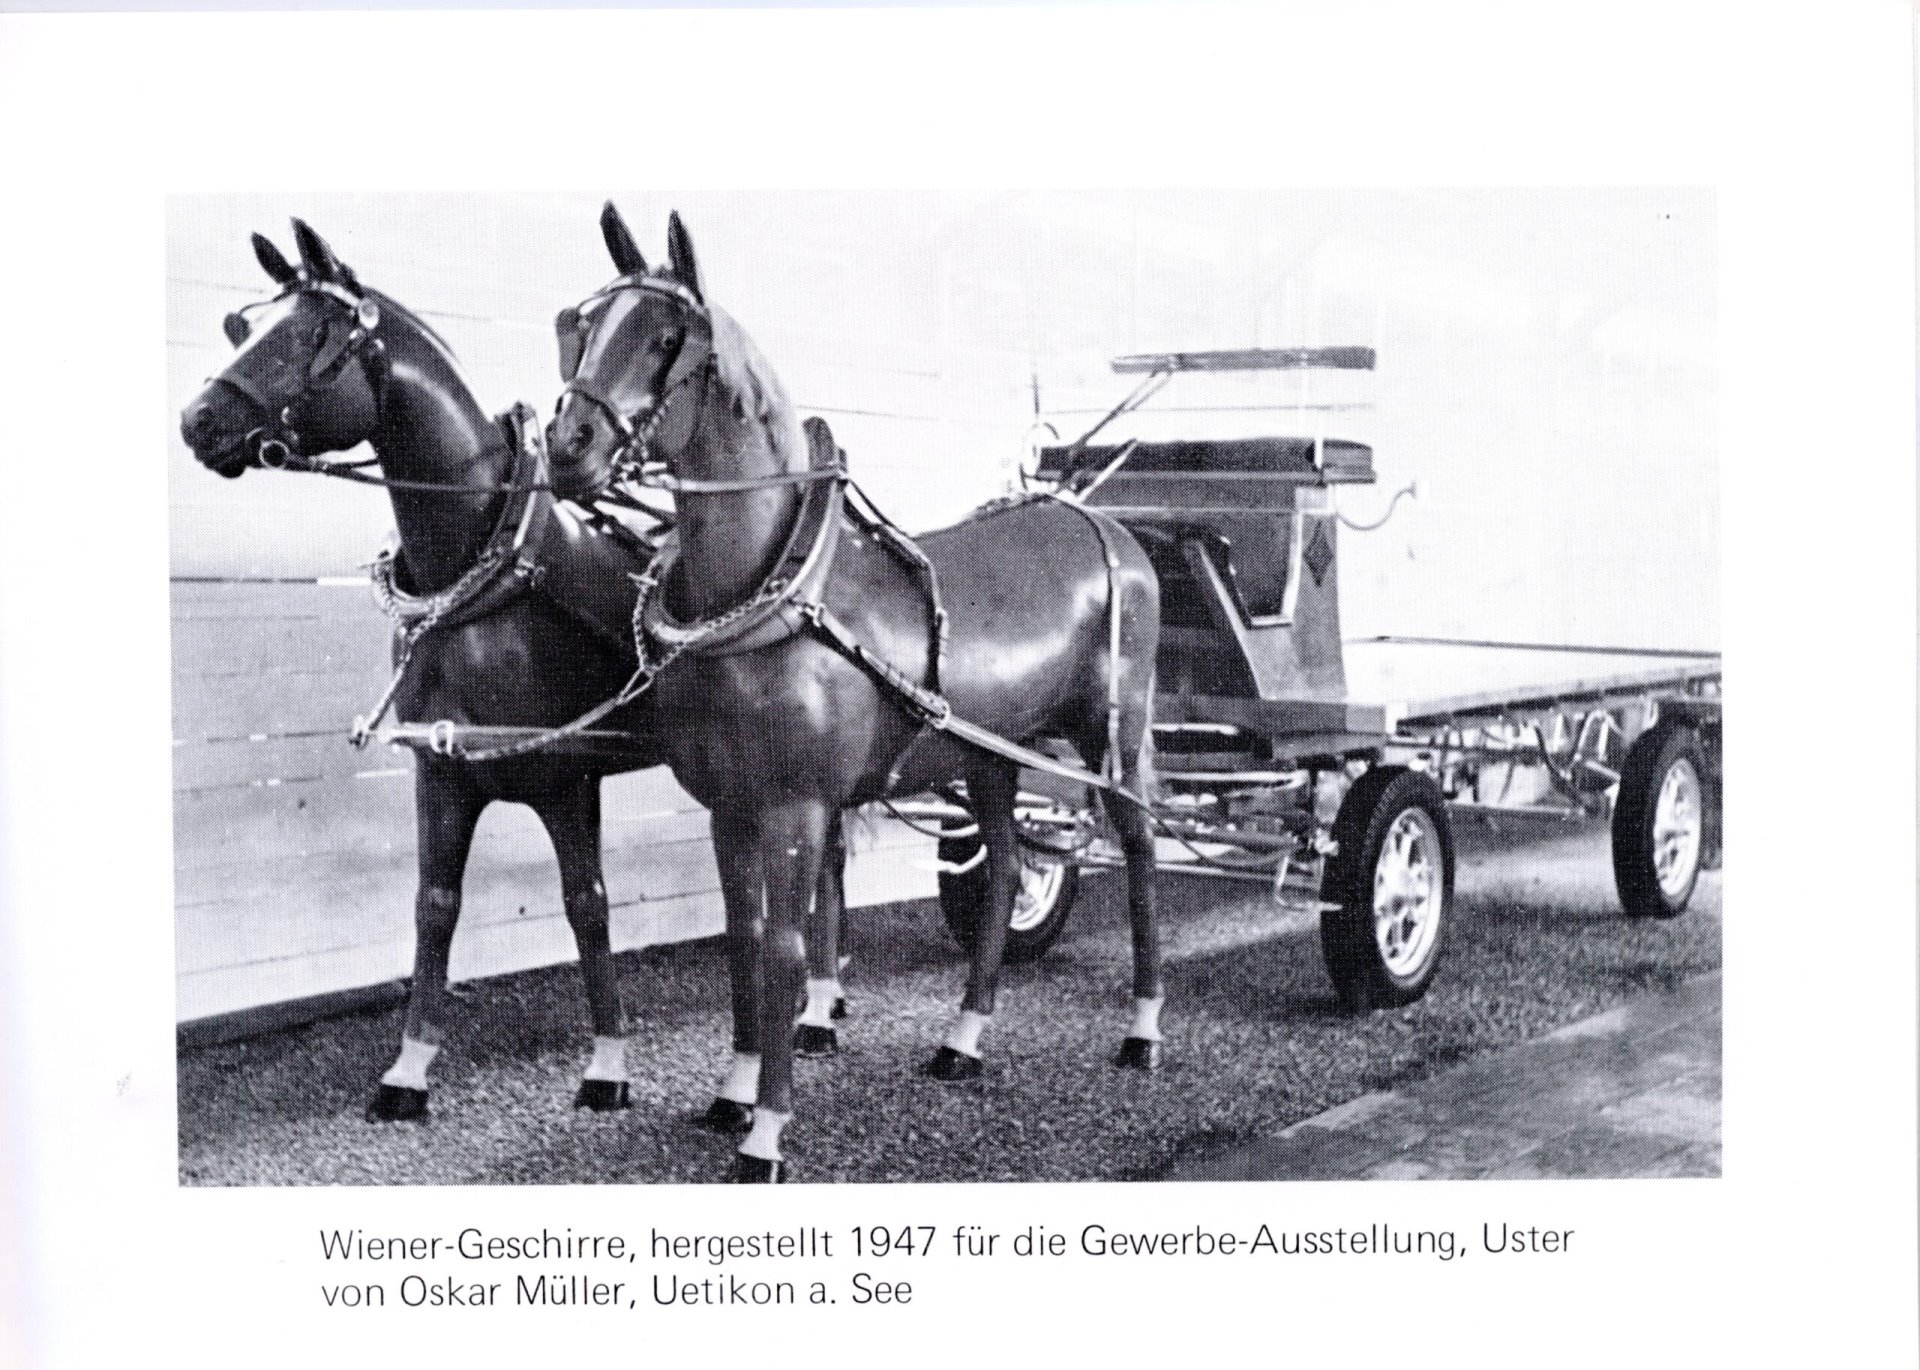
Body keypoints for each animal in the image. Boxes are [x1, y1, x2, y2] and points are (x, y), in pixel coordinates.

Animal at [177, 219, 850, 1131]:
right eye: (245, 327)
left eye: (313, 333)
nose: (197, 421)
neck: (487, 570)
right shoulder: (441, 773)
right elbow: (434, 909)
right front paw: (409, 1068)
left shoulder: (566, 779)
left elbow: (587, 906)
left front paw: (607, 1064)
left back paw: (819, 1010)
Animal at [546, 205, 1166, 1182]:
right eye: (580, 322)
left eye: (666, 337)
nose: (566, 447)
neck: (771, 589)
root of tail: (1107, 526)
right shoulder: (729, 804)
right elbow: (744, 937)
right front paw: (733, 1092)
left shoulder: (799, 807)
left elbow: (789, 950)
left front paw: (766, 1132)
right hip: (992, 756)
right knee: (1001, 872)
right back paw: (964, 1039)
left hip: (1117, 739)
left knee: (1140, 854)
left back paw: (1143, 1030)